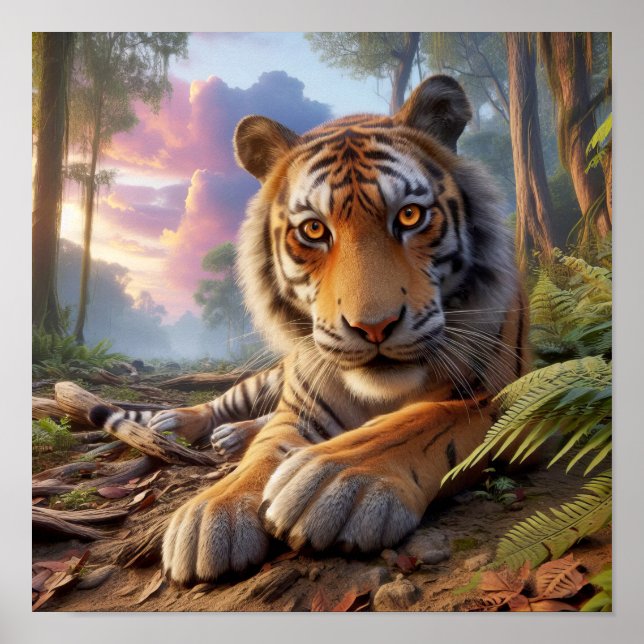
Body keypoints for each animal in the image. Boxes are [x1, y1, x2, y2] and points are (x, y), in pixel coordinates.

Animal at [95, 75, 528, 585]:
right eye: (315, 230)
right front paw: (211, 514)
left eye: (409, 216)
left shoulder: (506, 397)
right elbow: (267, 448)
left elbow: (423, 423)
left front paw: (333, 481)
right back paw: (183, 423)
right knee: (229, 404)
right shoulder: (300, 408)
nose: (374, 326)